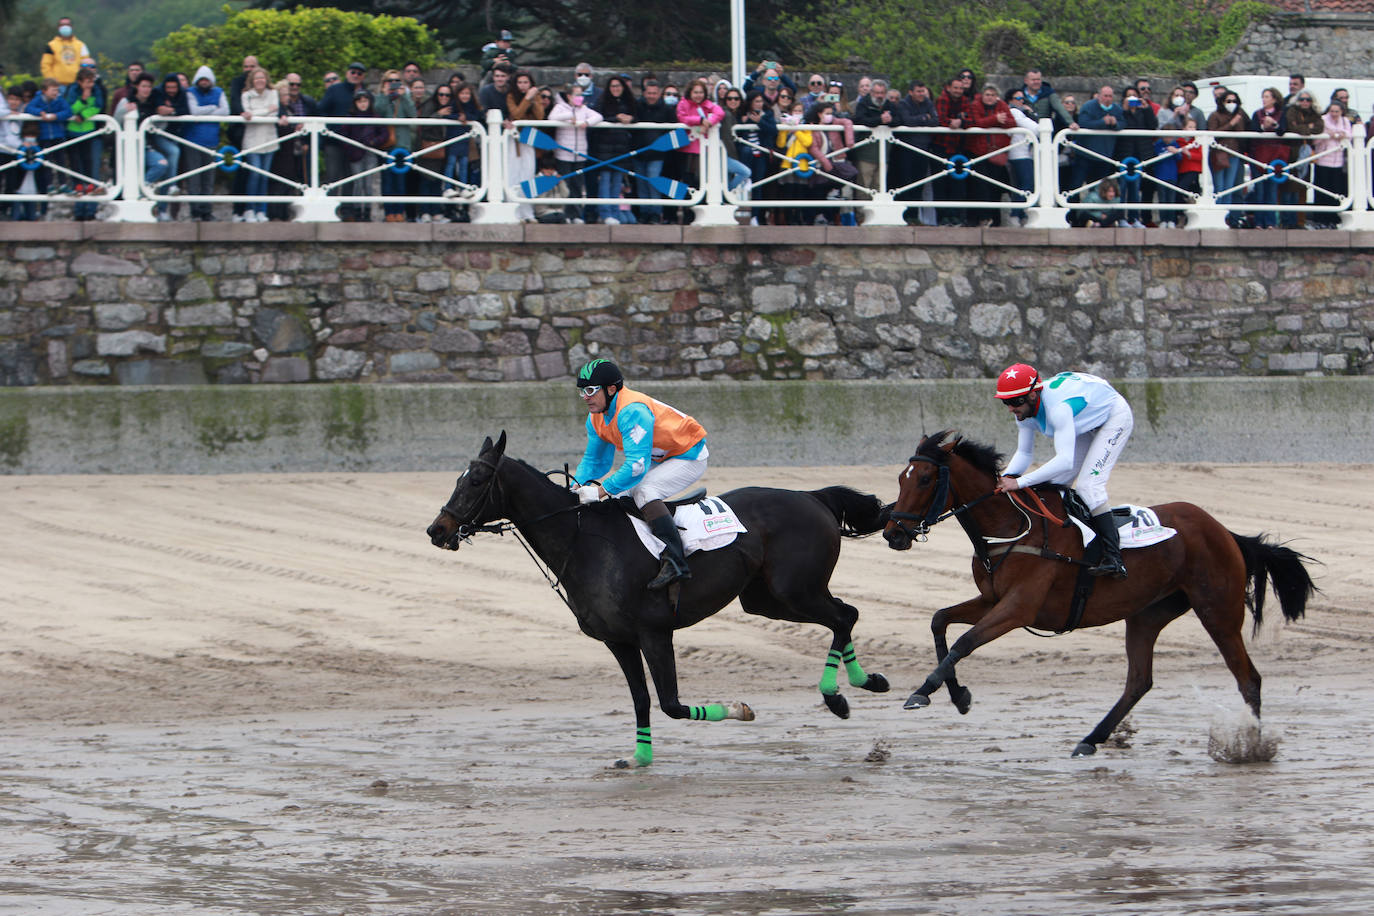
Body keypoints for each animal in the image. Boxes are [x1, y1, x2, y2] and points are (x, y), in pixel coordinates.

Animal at [423, 433, 890, 769]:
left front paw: (741, 709)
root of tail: (812, 497)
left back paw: (840, 694)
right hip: (768, 600)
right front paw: (639, 757)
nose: (437, 529)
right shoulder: (619, 641)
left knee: (844, 615)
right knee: (843, 615)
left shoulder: (654, 633)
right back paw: (862, 683)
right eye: (458, 479)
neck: (584, 542)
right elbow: (643, 701)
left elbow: (673, 705)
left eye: (477, 480)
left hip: (796, 590)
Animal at [884, 433, 1313, 758]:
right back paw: (1090, 740)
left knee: (1248, 678)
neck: (1009, 530)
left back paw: (1251, 747)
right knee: (1139, 680)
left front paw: (923, 692)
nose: (893, 533)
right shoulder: (992, 601)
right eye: (902, 478)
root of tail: (1225, 531)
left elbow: (965, 641)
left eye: (924, 479)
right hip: (1147, 613)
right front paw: (957, 696)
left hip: (1217, 610)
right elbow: (940, 621)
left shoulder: (1018, 608)